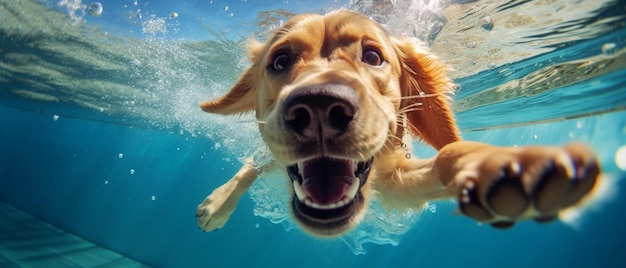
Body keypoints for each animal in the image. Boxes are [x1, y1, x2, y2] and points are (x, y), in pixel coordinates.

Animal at [196, 10, 600, 237]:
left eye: (373, 56)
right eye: (280, 60)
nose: (319, 107)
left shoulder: (396, 179)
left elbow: (448, 157)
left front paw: (499, 164)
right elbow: (253, 165)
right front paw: (219, 201)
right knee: (255, 163)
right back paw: (218, 204)